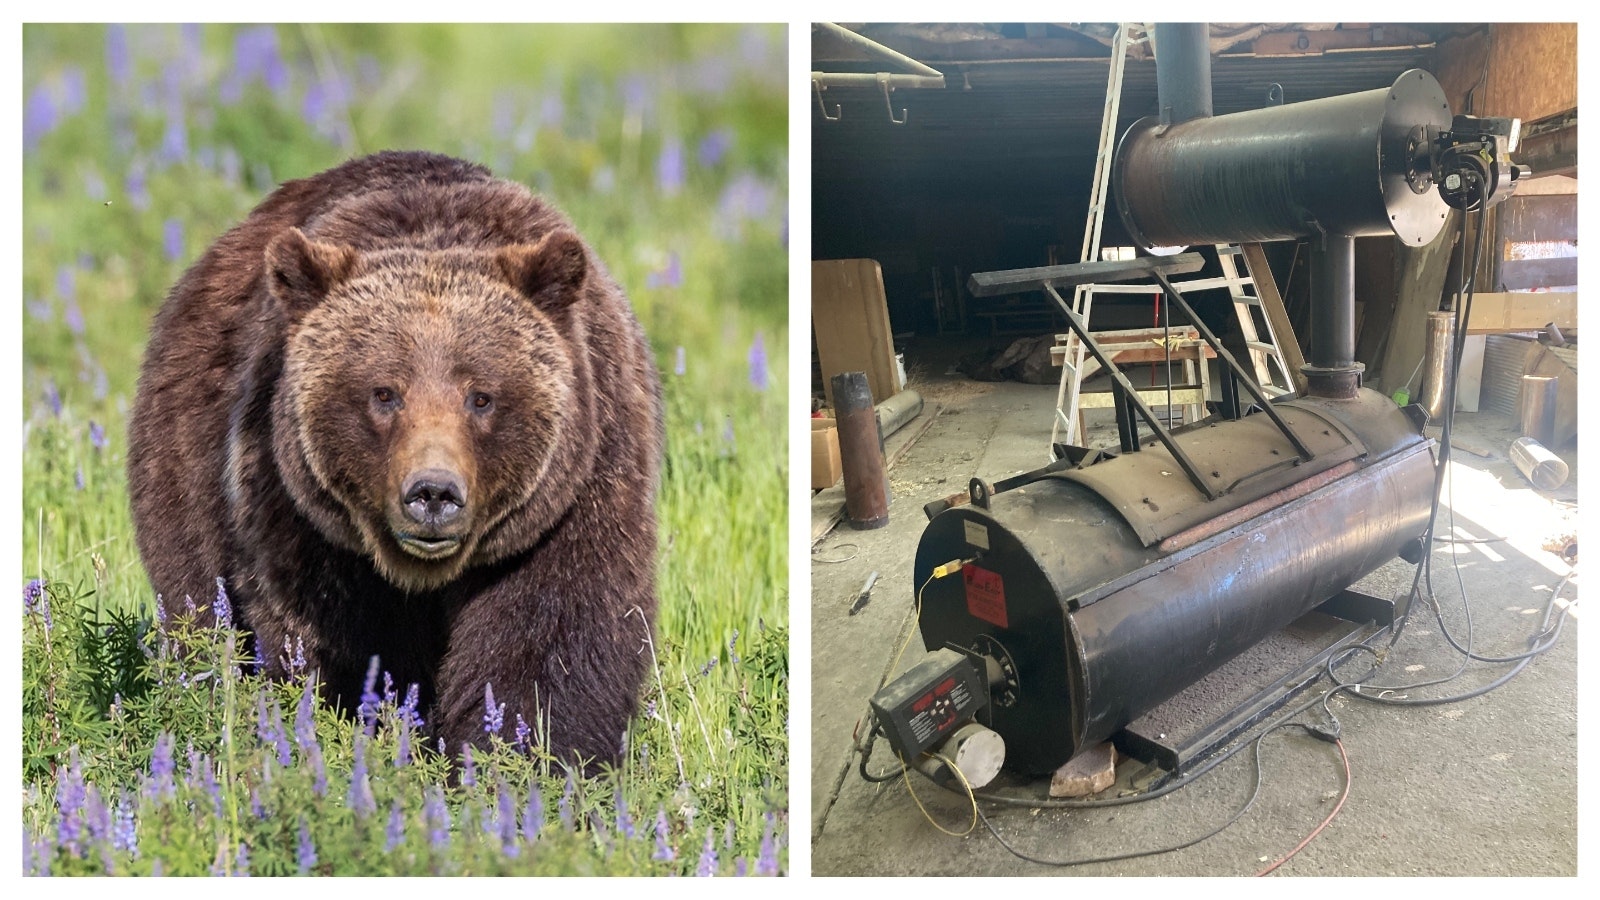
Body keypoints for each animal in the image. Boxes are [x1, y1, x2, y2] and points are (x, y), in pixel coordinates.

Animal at [124, 148, 662, 762]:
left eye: (482, 396)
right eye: (384, 393)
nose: (433, 492)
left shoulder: (570, 498)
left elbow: (551, 641)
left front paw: (525, 756)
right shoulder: (301, 516)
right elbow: (338, 642)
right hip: (189, 460)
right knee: (195, 598)